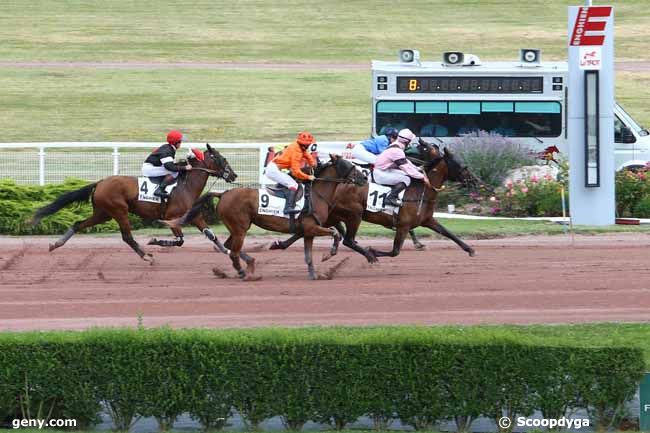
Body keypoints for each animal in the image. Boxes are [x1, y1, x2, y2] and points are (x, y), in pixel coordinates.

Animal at [30, 143, 237, 262]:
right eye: (221, 158)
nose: (234, 175)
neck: (185, 185)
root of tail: (100, 182)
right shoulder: (172, 217)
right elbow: (179, 241)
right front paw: (154, 241)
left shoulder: (193, 216)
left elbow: (210, 234)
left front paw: (226, 251)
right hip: (119, 210)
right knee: (127, 237)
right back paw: (146, 256)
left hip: (103, 214)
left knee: (78, 223)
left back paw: (56, 243)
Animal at [166, 155, 370, 280]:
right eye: (349, 166)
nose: (364, 178)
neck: (315, 194)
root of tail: (223, 194)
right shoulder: (312, 227)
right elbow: (335, 233)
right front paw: (329, 254)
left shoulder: (309, 229)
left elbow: (308, 255)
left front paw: (314, 274)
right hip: (240, 228)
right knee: (233, 251)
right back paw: (245, 272)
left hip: (237, 228)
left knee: (229, 246)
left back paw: (248, 264)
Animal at [268, 143, 476, 260]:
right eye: (460, 164)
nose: (474, 180)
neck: (420, 190)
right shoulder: (403, 225)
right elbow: (395, 251)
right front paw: (373, 251)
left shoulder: (427, 220)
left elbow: (448, 232)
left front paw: (470, 249)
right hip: (352, 213)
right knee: (334, 233)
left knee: (309, 229)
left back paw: (280, 244)